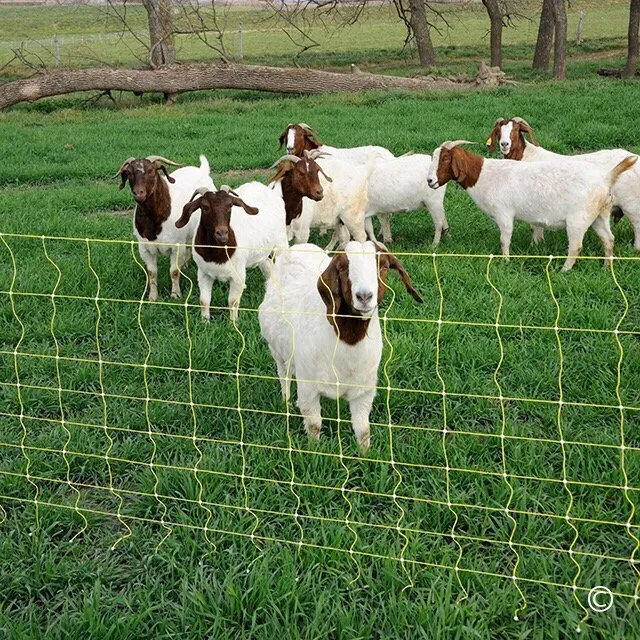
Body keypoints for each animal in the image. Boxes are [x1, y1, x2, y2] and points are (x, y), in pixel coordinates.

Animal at [115, 154, 215, 301]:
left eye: (151, 171)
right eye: (128, 173)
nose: (138, 193)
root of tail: (202, 170)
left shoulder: (177, 247)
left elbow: (174, 272)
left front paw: (175, 295)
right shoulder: (144, 248)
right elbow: (152, 273)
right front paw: (153, 297)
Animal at [175, 184, 288, 322]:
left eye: (230, 205)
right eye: (205, 207)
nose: (222, 234)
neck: (217, 255)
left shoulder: (238, 275)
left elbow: (233, 302)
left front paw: (233, 322)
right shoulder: (203, 273)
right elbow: (204, 301)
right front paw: (205, 321)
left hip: (281, 243)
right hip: (262, 253)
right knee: (268, 267)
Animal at [258, 241, 423, 453]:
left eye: (384, 267)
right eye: (343, 268)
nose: (364, 296)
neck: (347, 341)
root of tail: (301, 246)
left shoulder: (364, 390)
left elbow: (363, 430)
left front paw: (364, 454)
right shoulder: (308, 386)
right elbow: (314, 424)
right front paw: (313, 451)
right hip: (277, 349)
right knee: (283, 373)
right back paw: (285, 401)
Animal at [427, 141, 637, 271]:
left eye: (445, 158)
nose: (430, 181)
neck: (484, 175)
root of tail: (605, 178)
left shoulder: (504, 214)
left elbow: (504, 241)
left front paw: (505, 262)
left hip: (578, 219)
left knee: (576, 246)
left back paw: (564, 270)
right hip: (599, 216)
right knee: (609, 239)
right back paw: (606, 267)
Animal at [486, 117, 640, 250]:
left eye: (516, 129)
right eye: (498, 131)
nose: (504, 144)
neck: (526, 156)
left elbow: (534, 227)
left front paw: (535, 245)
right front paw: (538, 245)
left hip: (630, 202)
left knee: (637, 224)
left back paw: (635, 249)